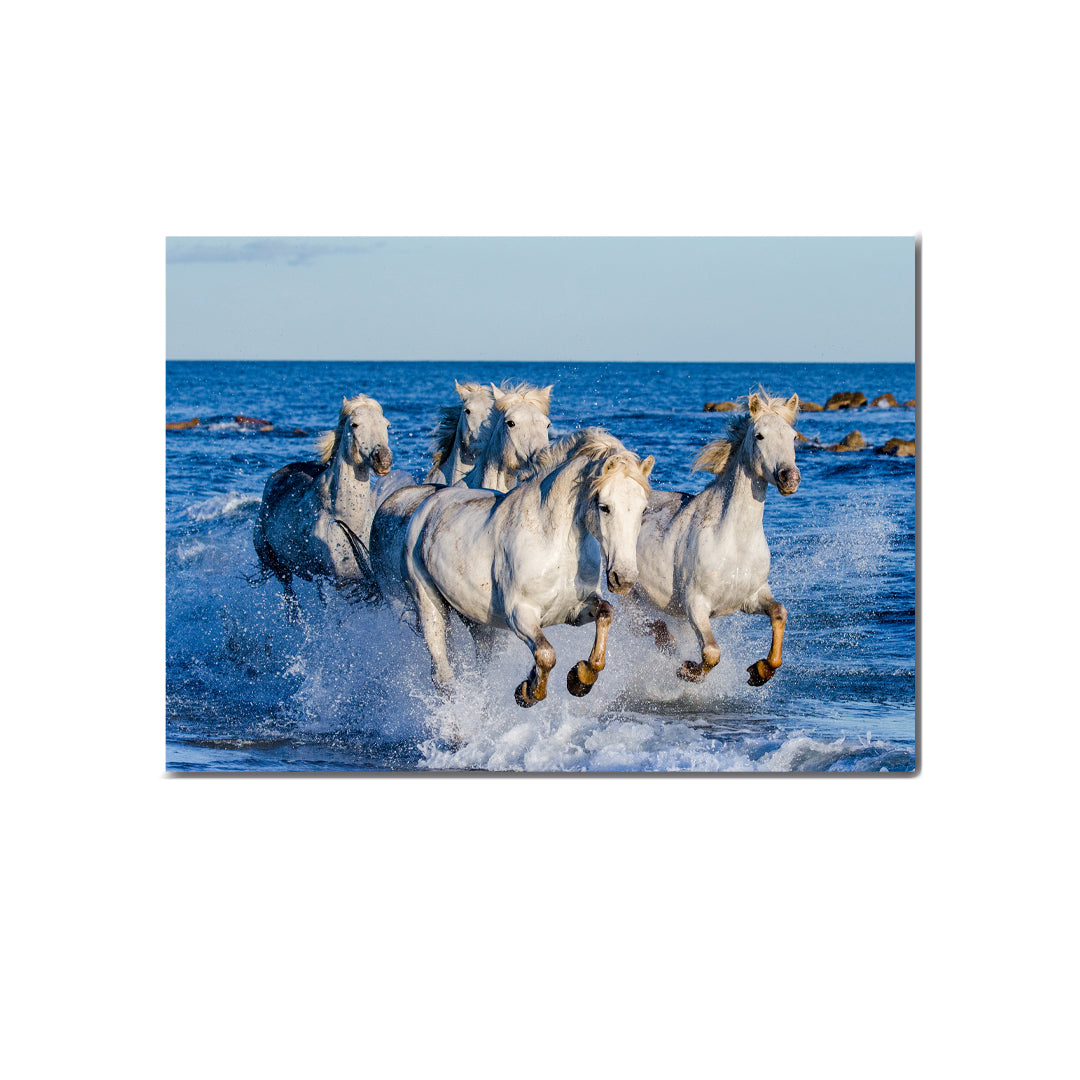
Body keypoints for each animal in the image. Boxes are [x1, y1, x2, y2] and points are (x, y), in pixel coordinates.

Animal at [253, 394, 393, 608]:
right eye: (354, 424)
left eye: (386, 425)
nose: (383, 460)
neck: (345, 517)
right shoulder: (328, 580)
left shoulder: (361, 578)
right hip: (277, 564)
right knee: (289, 595)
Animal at [400, 429, 654, 707]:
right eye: (604, 506)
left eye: (643, 509)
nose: (624, 579)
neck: (556, 544)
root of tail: (426, 506)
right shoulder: (520, 615)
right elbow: (546, 654)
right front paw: (528, 691)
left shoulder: (575, 611)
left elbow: (606, 613)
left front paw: (581, 678)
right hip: (430, 607)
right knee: (443, 676)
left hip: (478, 621)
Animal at [628, 390, 800, 686]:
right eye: (760, 435)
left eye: (793, 436)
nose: (790, 477)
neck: (734, 542)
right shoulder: (696, 606)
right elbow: (711, 652)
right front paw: (687, 671)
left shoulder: (752, 596)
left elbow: (779, 613)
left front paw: (761, 671)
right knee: (642, 626)